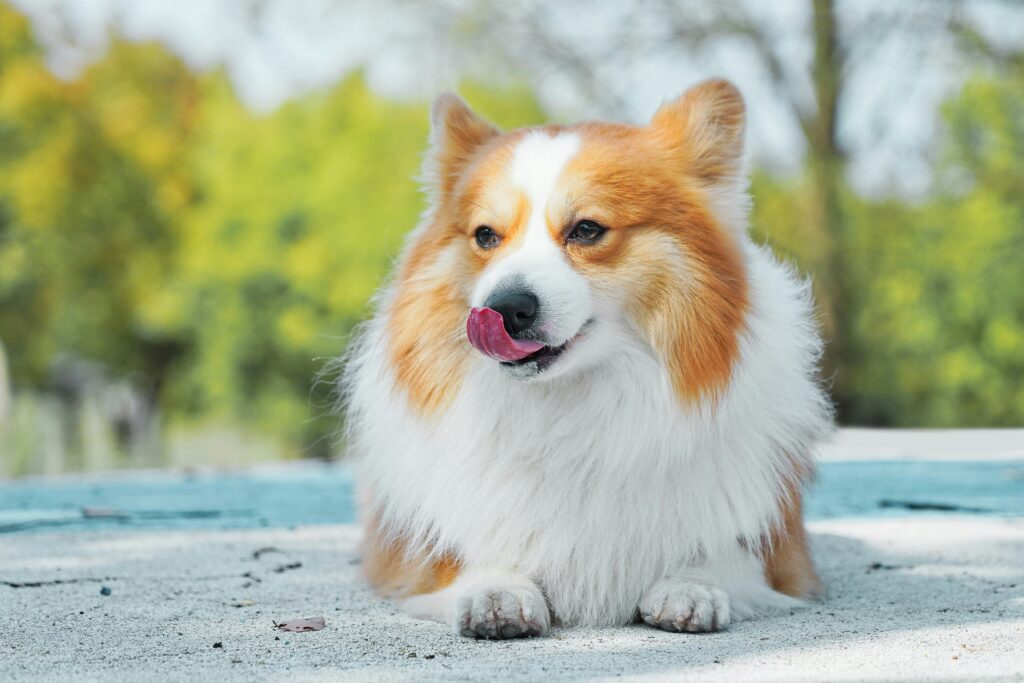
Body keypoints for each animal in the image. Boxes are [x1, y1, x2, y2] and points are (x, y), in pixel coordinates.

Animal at [344, 80, 831, 643]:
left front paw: (692, 586)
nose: (504, 308)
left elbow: (725, 554)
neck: (571, 408)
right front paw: (496, 590)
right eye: (486, 236)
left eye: (587, 229)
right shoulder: (413, 554)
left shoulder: (780, 554)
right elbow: (469, 554)